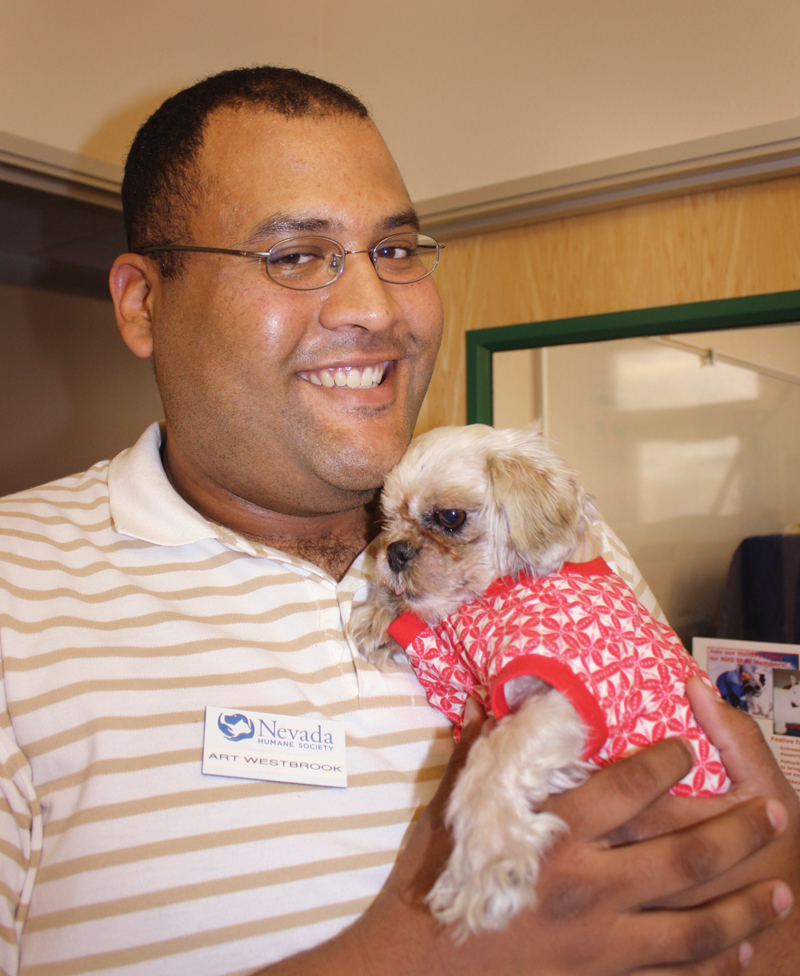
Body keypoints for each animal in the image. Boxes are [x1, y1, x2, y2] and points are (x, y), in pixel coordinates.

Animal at [346, 426, 728, 936]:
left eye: (450, 517)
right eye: (386, 520)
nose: (394, 551)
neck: (503, 594)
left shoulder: (566, 696)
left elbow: (491, 759)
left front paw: (485, 862)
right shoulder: (458, 676)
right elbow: (426, 627)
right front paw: (381, 614)